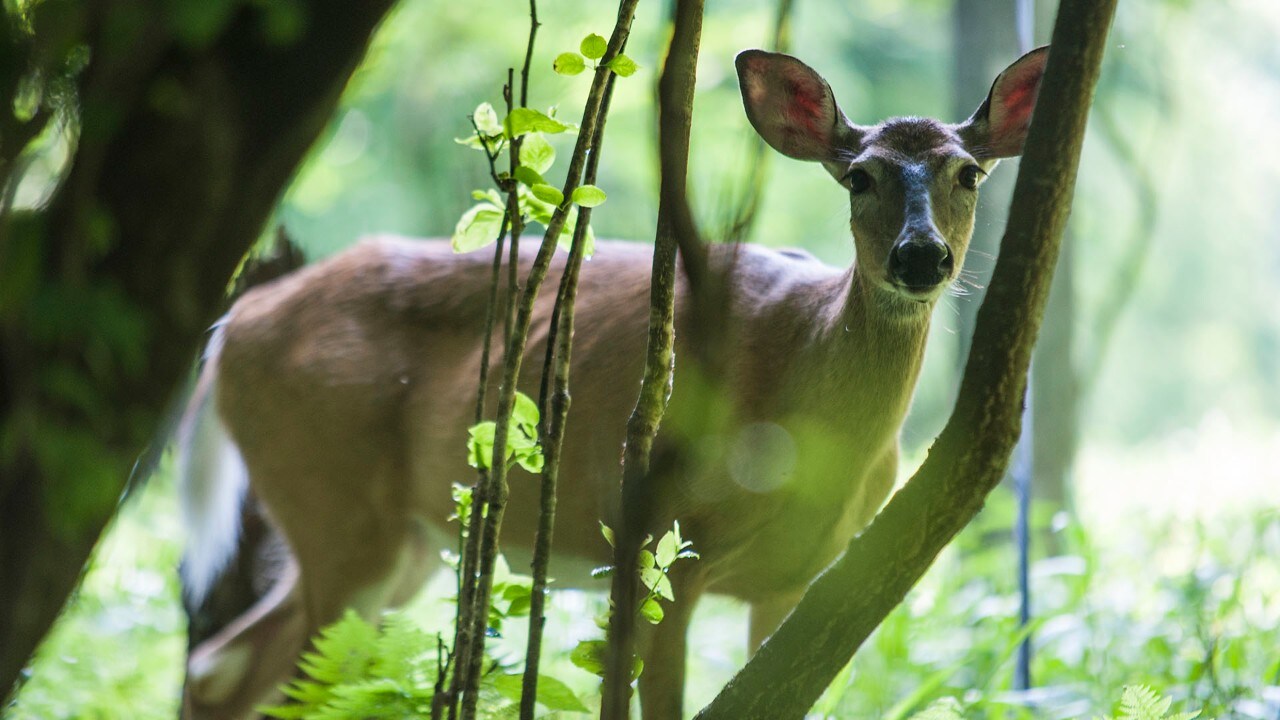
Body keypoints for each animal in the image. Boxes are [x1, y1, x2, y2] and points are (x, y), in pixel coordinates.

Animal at [175, 46, 1044, 717]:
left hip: (398, 542)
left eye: (969, 172)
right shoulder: (663, 539)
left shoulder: (797, 579)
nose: (921, 256)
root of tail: (232, 327)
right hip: (336, 507)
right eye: (859, 177)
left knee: (221, 667)